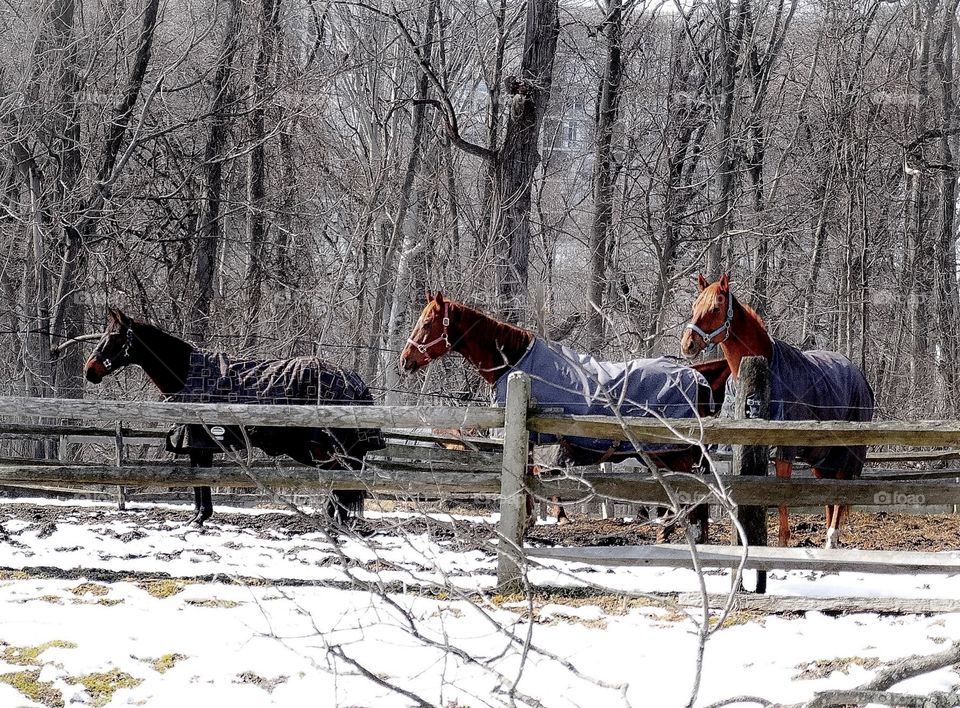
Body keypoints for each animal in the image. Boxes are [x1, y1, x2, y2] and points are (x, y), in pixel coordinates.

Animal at [82, 308, 382, 524]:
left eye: (115, 337)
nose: (90, 370)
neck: (190, 375)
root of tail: (354, 382)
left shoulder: (199, 440)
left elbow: (201, 479)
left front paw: (199, 518)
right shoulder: (200, 443)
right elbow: (200, 478)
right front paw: (199, 516)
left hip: (326, 450)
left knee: (341, 482)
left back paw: (336, 521)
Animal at [398, 290, 728, 540]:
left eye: (426, 323)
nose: (405, 360)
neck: (515, 362)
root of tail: (696, 377)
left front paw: (530, 523)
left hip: (674, 454)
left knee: (689, 494)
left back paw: (671, 532)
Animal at [680, 274, 872, 552]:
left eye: (715, 308)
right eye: (695, 306)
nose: (688, 344)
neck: (765, 368)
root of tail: (858, 375)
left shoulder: (783, 450)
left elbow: (781, 496)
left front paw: (781, 544)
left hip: (846, 453)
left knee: (839, 493)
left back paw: (831, 540)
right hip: (821, 456)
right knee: (829, 494)